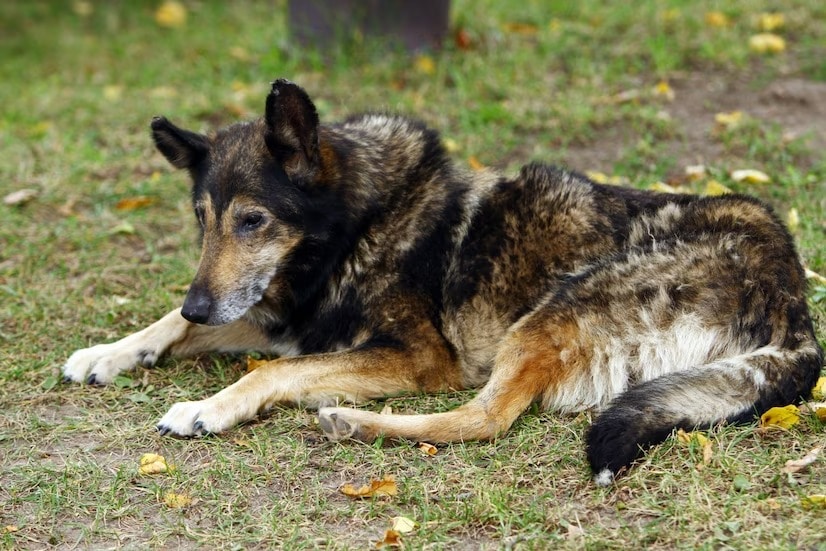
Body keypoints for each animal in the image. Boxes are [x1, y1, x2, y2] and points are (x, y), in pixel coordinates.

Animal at [62, 77, 816, 484]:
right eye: (202, 220)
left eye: (252, 221)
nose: (201, 301)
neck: (358, 223)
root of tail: (792, 299)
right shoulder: (277, 312)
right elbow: (175, 322)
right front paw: (108, 352)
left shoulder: (415, 356)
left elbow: (270, 372)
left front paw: (208, 406)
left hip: (552, 310)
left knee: (484, 417)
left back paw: (355, 421)